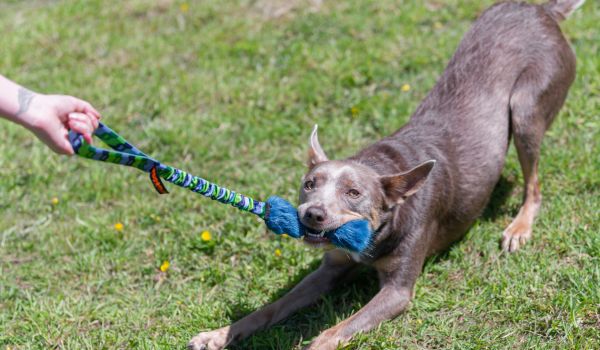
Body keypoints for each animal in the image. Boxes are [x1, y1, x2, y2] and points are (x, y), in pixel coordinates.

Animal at [189, 1, 580, 348]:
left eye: (354, 193)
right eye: (309, 184)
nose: (312, 214)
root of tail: (543, 10)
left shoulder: (397, 290)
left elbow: (333, 332)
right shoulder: (330, 268)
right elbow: (272, 307)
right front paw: (217, 335)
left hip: (526, 110)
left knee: (534, 184)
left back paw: (519, 228)